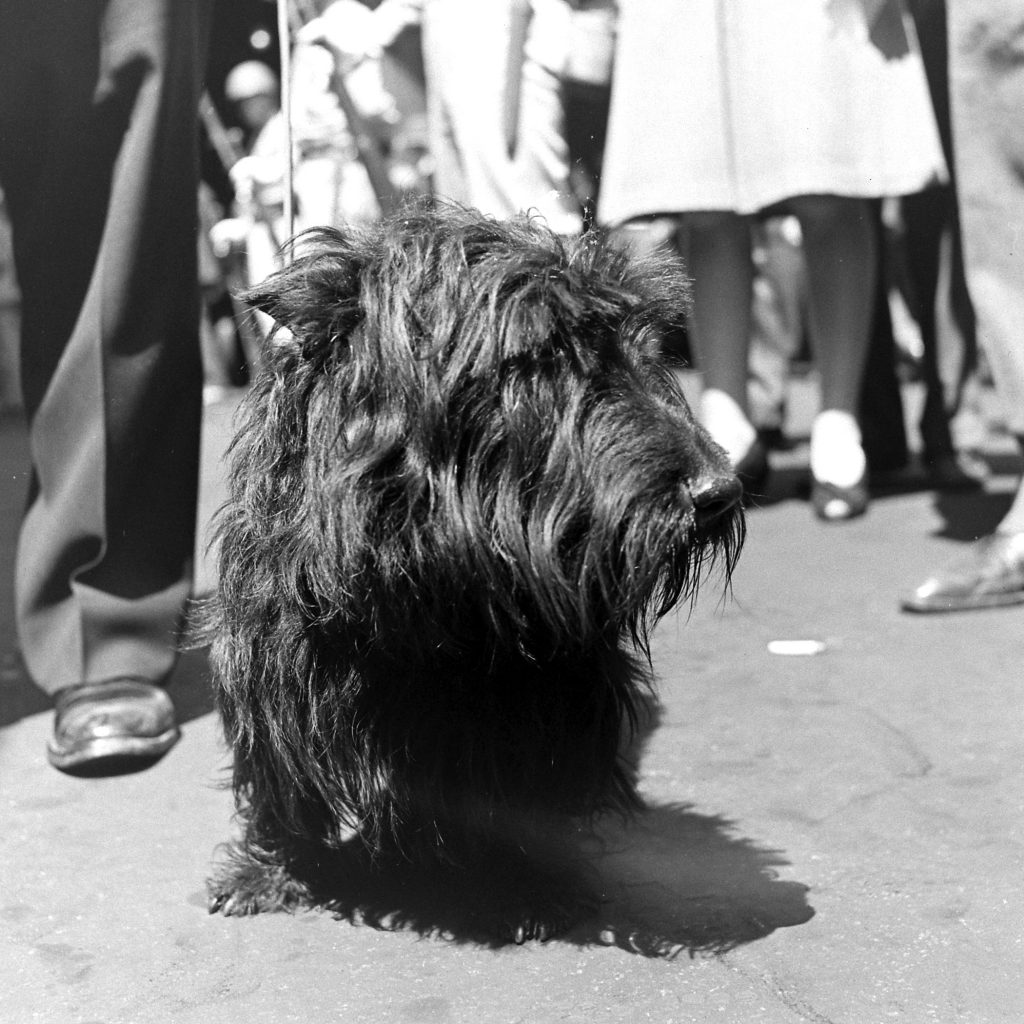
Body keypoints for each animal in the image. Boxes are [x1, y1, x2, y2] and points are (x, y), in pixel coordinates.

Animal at [199, 201, 745, 942]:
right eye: (544, 354)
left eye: (646, 346)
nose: (720, 492)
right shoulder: (274, 657)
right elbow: (282, 777)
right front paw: (270, 869)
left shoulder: (556, 693)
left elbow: (530, 794)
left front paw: (528, 882)